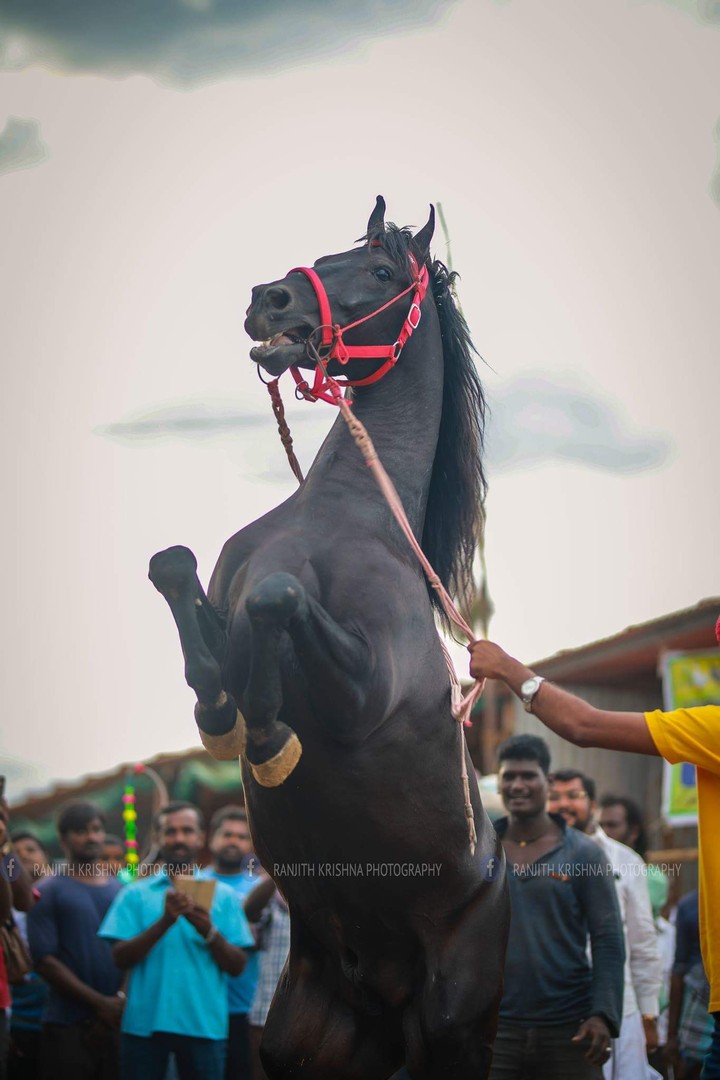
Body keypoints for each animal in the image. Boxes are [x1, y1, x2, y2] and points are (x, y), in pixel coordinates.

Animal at [149, 197, 509, 1079]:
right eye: (325, 255)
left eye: (380, 270)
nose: (269, 300)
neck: (345, 517)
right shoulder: (220, 599)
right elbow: (177, 571)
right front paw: (222, 714)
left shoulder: (363, 697)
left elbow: (278, 599)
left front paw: (268, 737)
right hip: (302, 1038)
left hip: (451, 1031)